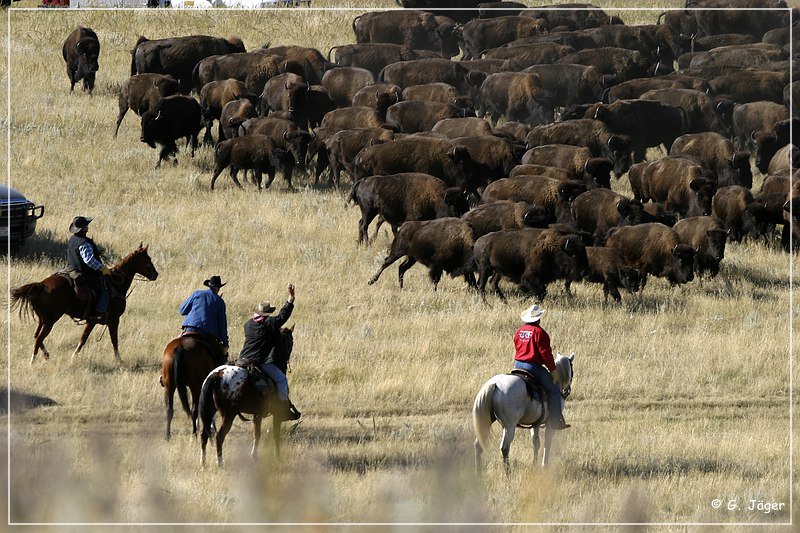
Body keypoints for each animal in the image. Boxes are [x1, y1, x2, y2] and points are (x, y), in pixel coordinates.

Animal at [9, 243, 158, 364]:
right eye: (148, 259)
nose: (155, 274)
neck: (116, 283)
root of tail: (41, 285)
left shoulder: (92, 320)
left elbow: (83, 338)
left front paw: (73, 356)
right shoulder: (114, 319)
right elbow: (114, 339)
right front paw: (119, 360)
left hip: (42, 320)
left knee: (36, 336)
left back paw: (46, 355)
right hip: (50, 320)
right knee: (39, 338)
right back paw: (33, 361)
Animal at [198, 324, 296, 466]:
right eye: (291, 341)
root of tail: (216, 376)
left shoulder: (257, 414)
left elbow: (257, 434)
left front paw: (254, 456)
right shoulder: (277, 414)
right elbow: (275, 434)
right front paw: (277, 457)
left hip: (210, 412)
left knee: (204, 435)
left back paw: (203, 462)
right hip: (229, 415)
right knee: (219, 436)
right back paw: (220, 463)